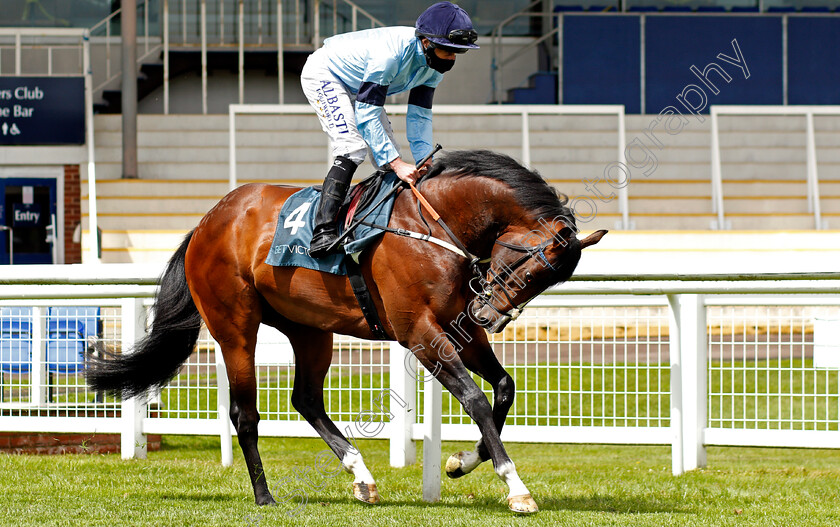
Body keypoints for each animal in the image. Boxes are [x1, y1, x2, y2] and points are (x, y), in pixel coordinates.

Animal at [87, 150, 604, 516]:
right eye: (528, 267)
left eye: (544, 282)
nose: (490, 317)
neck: (431, 224)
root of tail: (206, 221)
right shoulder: (419, 332)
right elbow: (475, 399)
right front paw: (516, 487)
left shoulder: (459, 331)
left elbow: (503, 387)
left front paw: (461, 461)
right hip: (235, 328)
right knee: (244, 414)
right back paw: (264, 495)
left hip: (310, 330)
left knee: (306, 399)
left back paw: (361, 476)